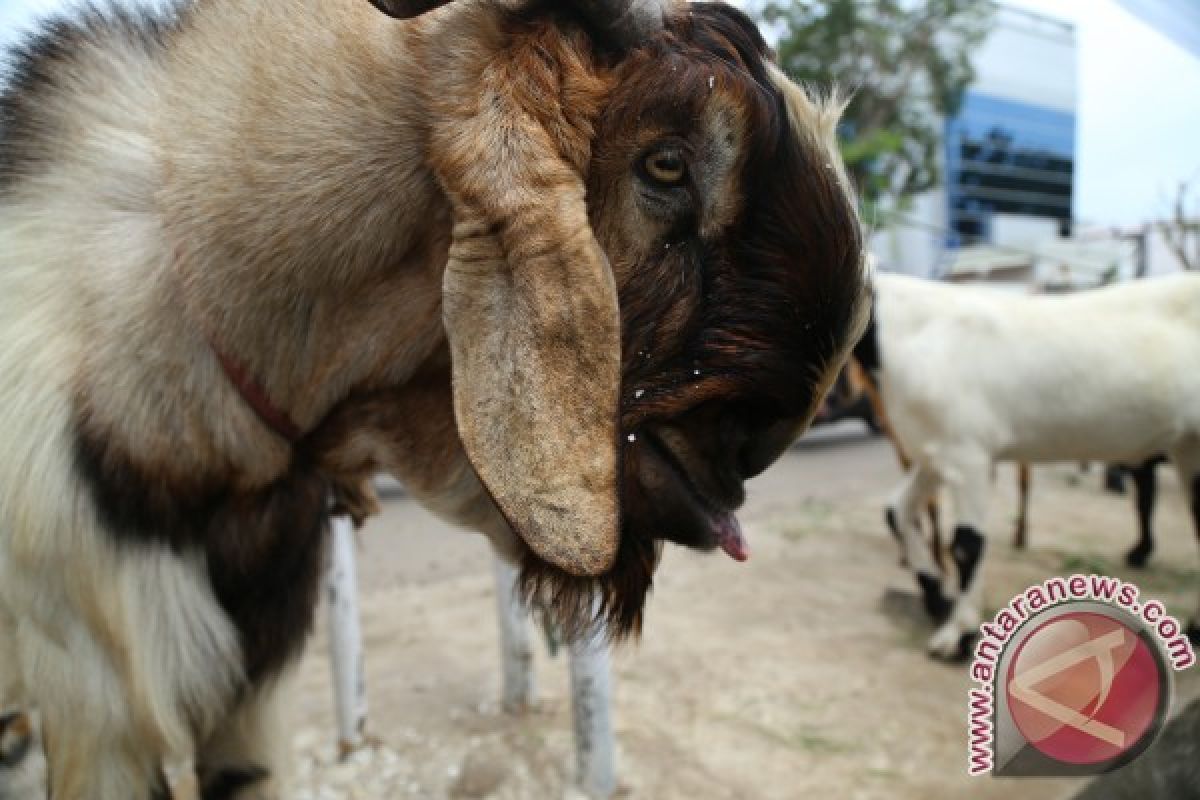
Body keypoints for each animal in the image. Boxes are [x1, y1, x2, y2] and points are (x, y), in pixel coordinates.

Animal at [859, 272, 1200, 662]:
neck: (909, 329)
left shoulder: (969, 454)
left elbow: (966, 544)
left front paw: (957, 636)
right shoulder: (936, 453)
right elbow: (895, 512)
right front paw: (936, 597)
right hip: (1188, 445)